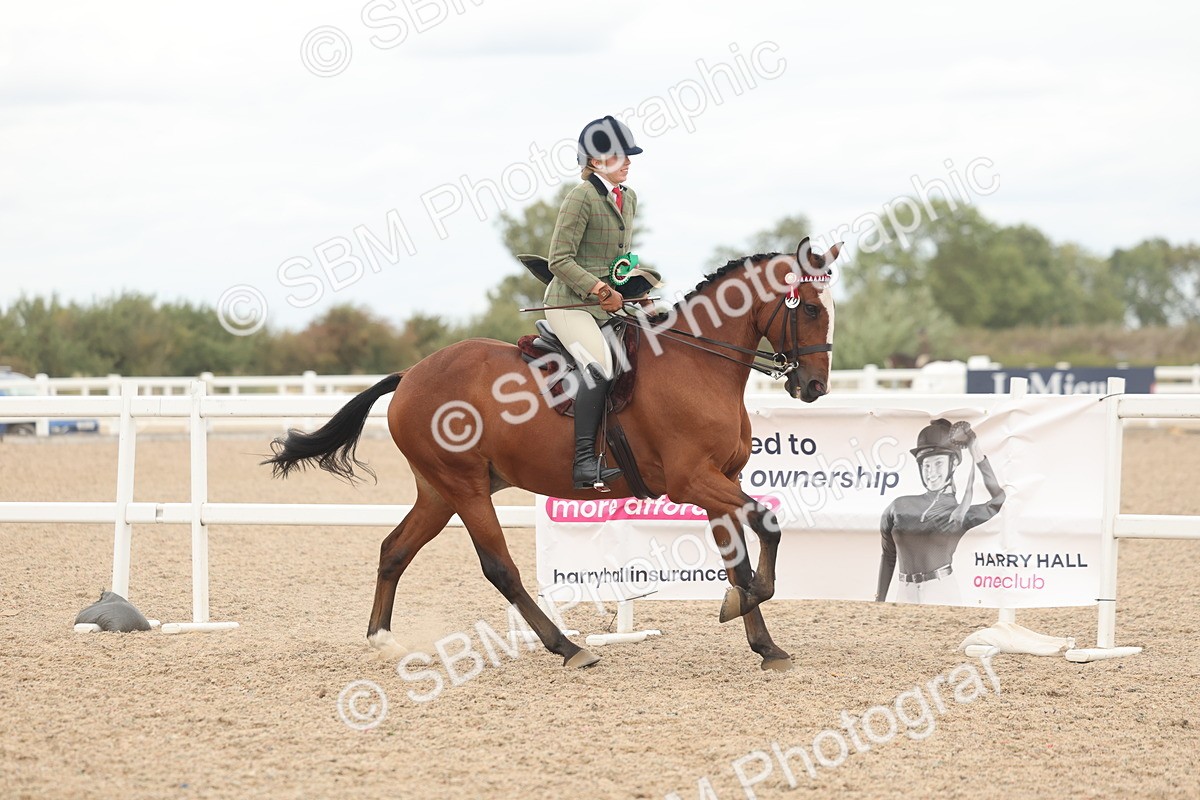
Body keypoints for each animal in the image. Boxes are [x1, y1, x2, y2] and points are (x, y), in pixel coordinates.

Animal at [264, 238, 842, 671]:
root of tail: (410, 375)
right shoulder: (692, 481)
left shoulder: (721, 481)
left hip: (439, 491)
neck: (699, 364)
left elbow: (739, 558)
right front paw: (746, 604)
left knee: (394, 550)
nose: (814, 387)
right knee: (499, 568)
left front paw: (762, 641)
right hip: (464, 488)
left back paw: (384, 641)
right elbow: (767, 524)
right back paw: (567, 647)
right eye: (811, 309)